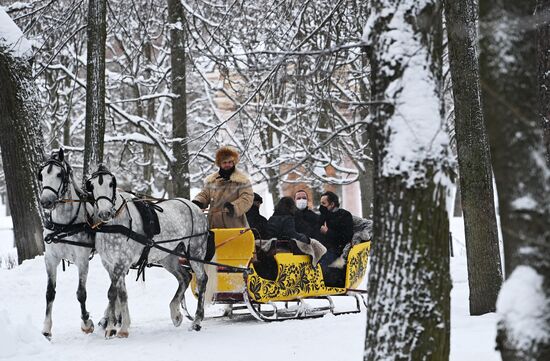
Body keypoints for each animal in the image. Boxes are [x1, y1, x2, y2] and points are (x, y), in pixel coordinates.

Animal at [38, 148, 95, 338]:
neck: (63, 225)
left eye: (59, 174)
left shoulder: (82, 260)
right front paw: (46, 329)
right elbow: (50, 293)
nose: (46, 201)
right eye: (41, 175)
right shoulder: (50, 258)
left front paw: (86, 323)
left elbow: (81, 293)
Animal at [86, 165, 216, 336]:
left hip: (196, 251)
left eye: (111, 184)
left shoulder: (122, 263)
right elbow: (118, 294)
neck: (115, 224)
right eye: (92, 186)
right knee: (185, 277)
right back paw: (175, 314)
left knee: (201, 279)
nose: (105, 213)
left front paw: (117, 328)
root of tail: (196, 208)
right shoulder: (109, 263)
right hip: (168, 256)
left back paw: (197, 321)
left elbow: (115, 293)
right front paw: (116, 326)